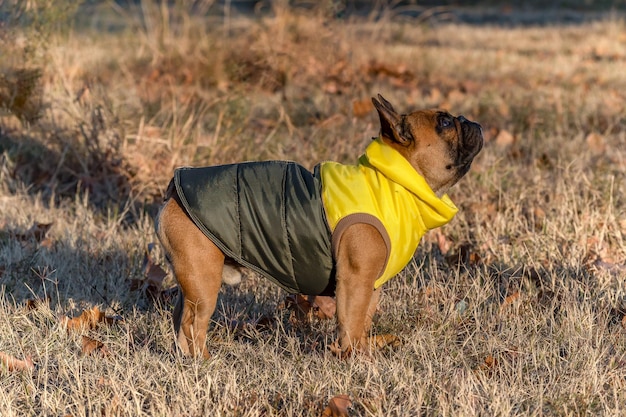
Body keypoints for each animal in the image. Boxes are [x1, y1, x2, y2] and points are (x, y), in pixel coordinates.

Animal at [156, 94, 482, 358]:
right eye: (444, 122)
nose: (471, 121)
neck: (393, 182)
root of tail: (174, 191)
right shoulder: (355, 280)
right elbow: (351, 321)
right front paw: (354, 359)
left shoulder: (371, 284)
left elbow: (363, 320)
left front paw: (362, 353)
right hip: (204, 279)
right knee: (192, 324)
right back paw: (203, 361)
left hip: (192, 279)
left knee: (180, 317)